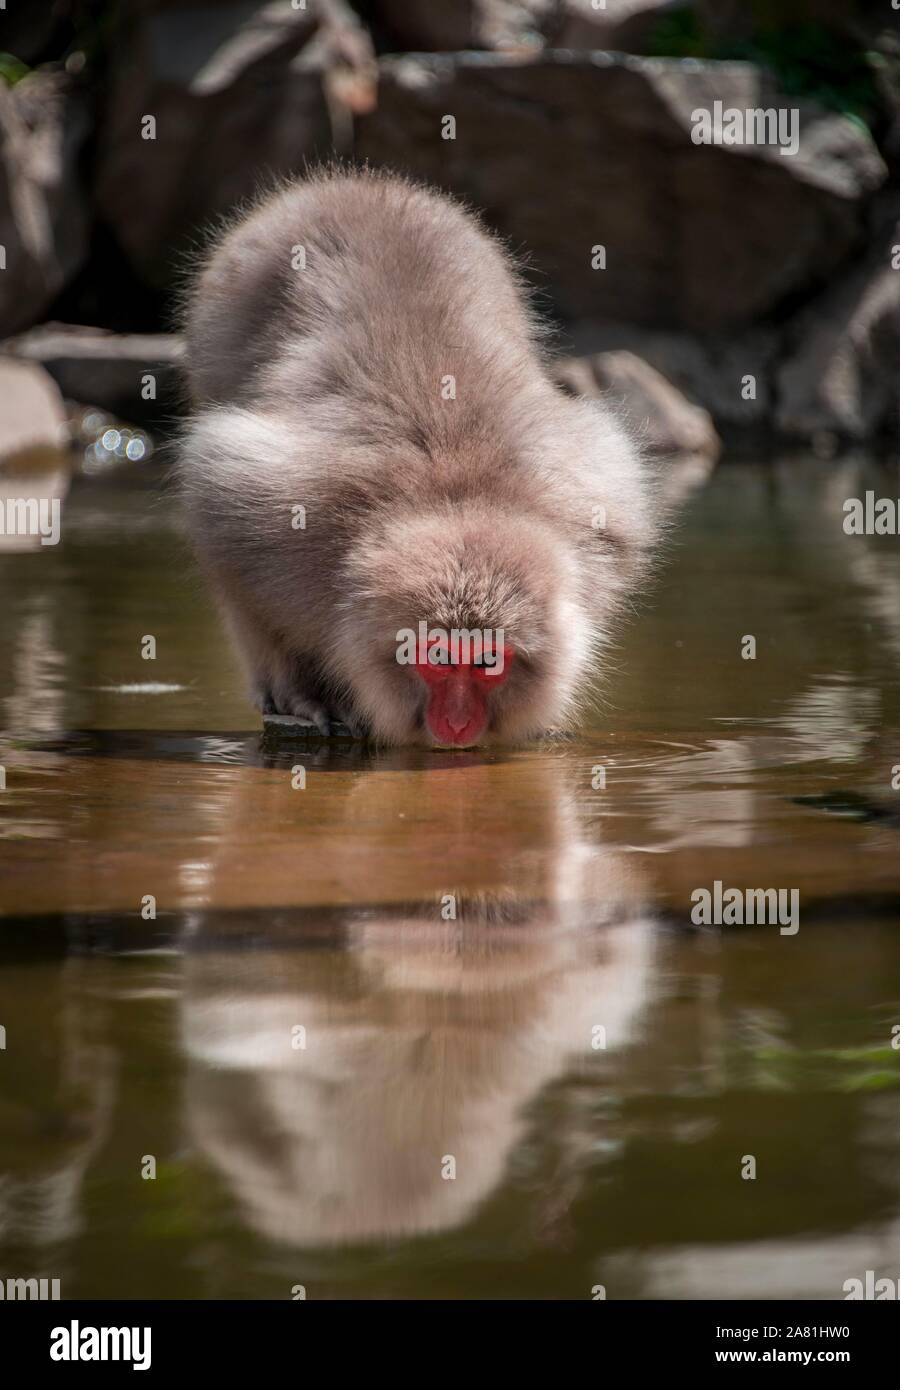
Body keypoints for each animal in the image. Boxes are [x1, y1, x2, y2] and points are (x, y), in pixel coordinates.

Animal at [179, 168, 657, 746]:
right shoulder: (264, 514)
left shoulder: (599, 515)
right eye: (436, 657)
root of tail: (354, 184)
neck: (454, 496)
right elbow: (233, 559)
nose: (458, 721)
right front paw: (299, 690)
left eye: (488, 662)